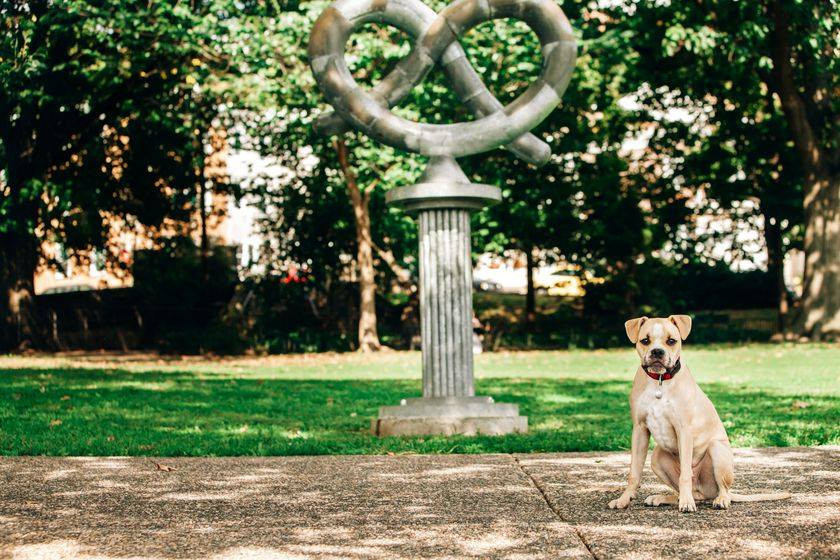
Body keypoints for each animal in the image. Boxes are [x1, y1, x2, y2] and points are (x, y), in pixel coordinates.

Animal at [608, 316, 792, 512]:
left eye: (671, 341)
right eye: (645, 341)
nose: (657, 352)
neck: (660, 382)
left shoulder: (684, 430)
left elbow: (685, 475)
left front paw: (687, 504)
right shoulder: (639, 430)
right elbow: (634, 473)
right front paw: (624, 499)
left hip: (716, 450)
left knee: (721, 489)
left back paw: (718, 500)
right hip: (657, 457)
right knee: (691, 492)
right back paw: (665, 498)